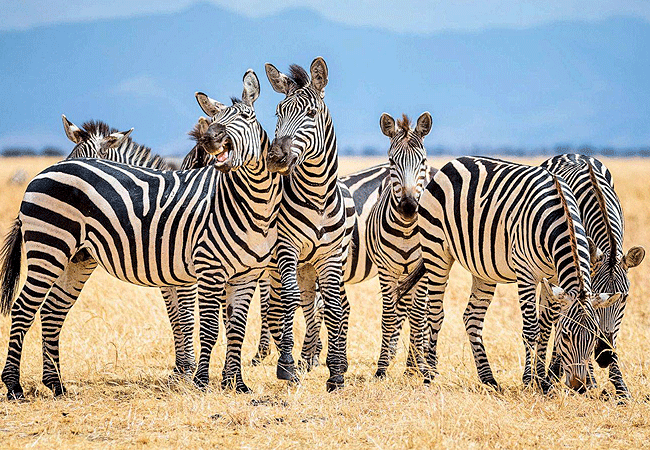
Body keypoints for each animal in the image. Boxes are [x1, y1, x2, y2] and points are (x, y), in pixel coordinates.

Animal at [0, 69, 287, 398]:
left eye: (246, 116)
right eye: (215, 118)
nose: (210, 138)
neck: (252, 201)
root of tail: (40, 174)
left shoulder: (243, 275)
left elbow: (233, 327)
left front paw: (235, 384)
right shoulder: (203, 271)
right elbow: (201, 325)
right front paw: (197, 379)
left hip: (76, 258)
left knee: (52, 311)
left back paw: (56, 384)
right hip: (48, 248)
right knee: (23, 309)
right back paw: (14, 385)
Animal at [263, 57, 350, 391]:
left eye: (311, 114)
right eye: (278, 112)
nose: (275, 157)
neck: (318, 196)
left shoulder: (329, 257)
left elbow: (334, 307)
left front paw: (336, 372)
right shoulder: (286, 249)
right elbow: (288, 302)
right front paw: (286, 365)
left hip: (310, 268)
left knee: (315, 307)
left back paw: (313, 358)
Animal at [396, 156, 621, 392]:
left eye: (593, 337)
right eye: (566, 336)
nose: (579, 386)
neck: (560, 216)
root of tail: (452, 163)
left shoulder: (552, 278)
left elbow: (545, 327)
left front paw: (542, 382)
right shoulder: (526, 274)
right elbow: (532, 329)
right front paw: (530, 381)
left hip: (483, 269)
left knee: (472, 317)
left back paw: (488, 378)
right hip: (436, 251)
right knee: (435, 313)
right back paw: (430, 375)